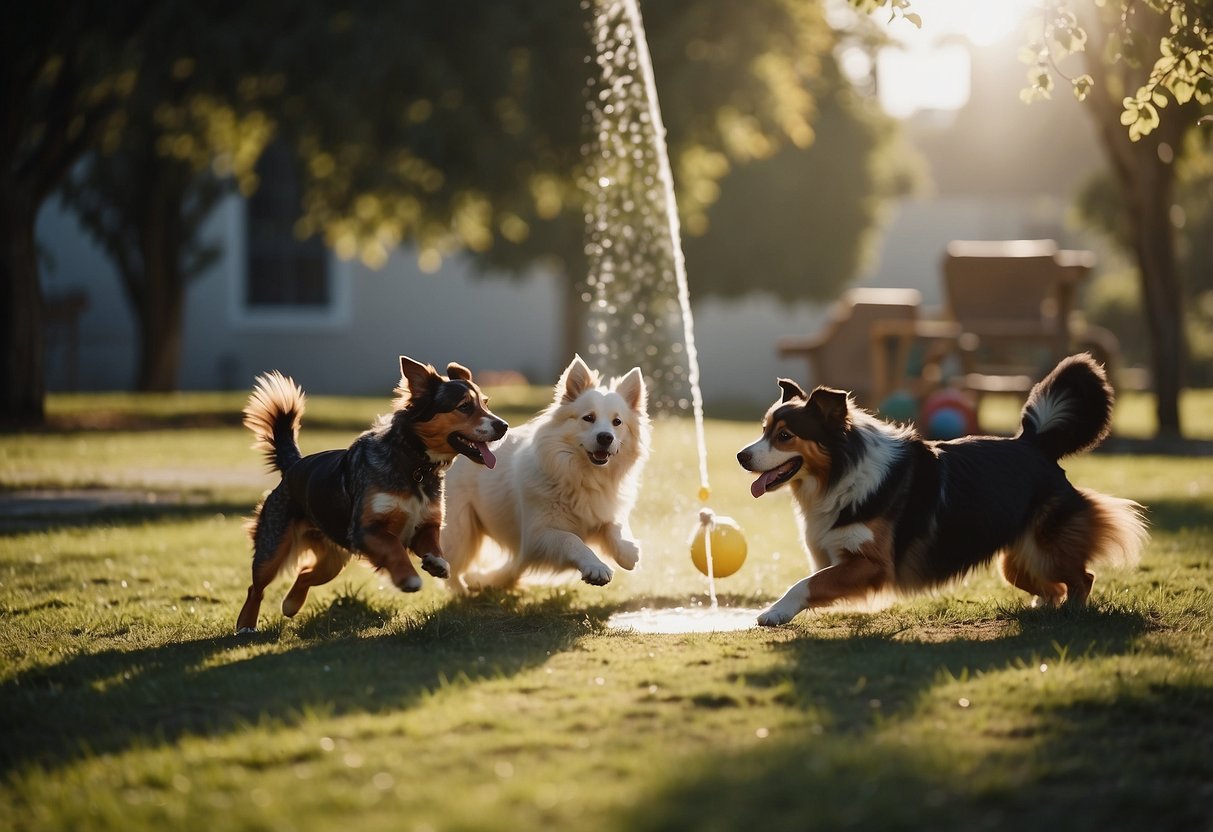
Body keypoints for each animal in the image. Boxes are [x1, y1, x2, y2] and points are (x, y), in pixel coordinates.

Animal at [236, 354, 507, 635]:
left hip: (332, 561)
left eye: (485, 403)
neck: (415, 464)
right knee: (256, 586)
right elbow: (394, 548)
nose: (504, 426)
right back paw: (246, 625)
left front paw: (437, 563)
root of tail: (293, 465)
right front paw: (408, 578)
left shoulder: (426, 525)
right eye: (464, 406)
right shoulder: (366, 529)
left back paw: (290, 604)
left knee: (305, 574)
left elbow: (434, 545)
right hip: (273, 547)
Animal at [443, 356, 655, 594]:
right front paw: (596, 567)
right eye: (588, 418)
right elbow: (571, 540)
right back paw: (462, 591)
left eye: (617, 422)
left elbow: (615, 526)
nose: (605, 437)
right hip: (460, 530)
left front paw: (628, 551)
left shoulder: (602, 512)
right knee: (452, 568)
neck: (582, 476)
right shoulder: (538, 536)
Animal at [737, 351, 1145, 625]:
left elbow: (807, 583)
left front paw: (775, 611)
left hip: (1046, 550)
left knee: (1084, 578)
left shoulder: (872, 564)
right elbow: (814, 580)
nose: (741, 456)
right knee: (1053, 586)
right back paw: (1043, 611)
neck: (840, 473)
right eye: (763, 430)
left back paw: (1073, 613)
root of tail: (1034, 443)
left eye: (784, 436)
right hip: (1018, 561)